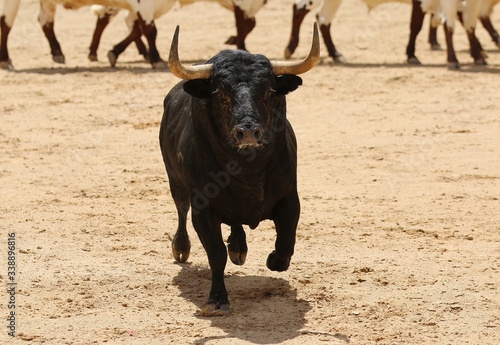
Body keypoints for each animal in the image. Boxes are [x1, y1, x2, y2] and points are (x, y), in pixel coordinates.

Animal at [160, 23, 320, 314]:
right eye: (221, 93)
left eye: (269, 91)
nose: (248, 133)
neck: (247, 172)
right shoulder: (203, 209)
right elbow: (215, 253)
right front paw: (217, 299)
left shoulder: (290, 198)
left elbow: (285, 245)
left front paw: (272, 260)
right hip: (175, 180)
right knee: (181, 208)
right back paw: (182, 248)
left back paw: (238, 246)